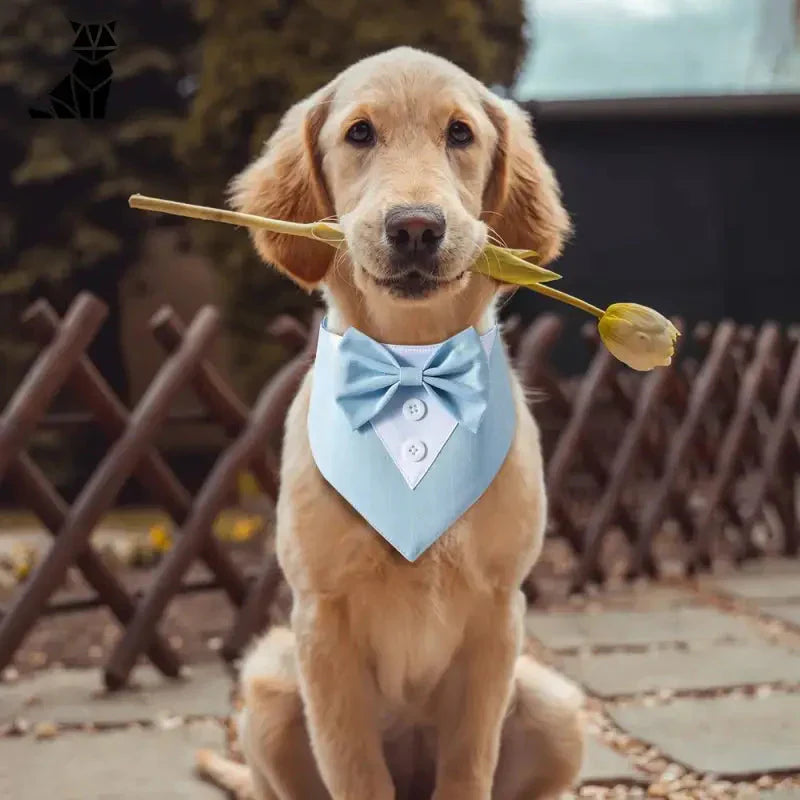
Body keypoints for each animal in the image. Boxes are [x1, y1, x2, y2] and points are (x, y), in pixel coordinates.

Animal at [202, 48, 580, 800]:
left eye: (460, 133)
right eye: (360, 133)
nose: (414, 227)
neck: (412, 365)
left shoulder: (498, 613)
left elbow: (468, 765)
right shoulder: (321, 620)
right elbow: (354, 769)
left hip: (556, 709)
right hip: (269, 686)